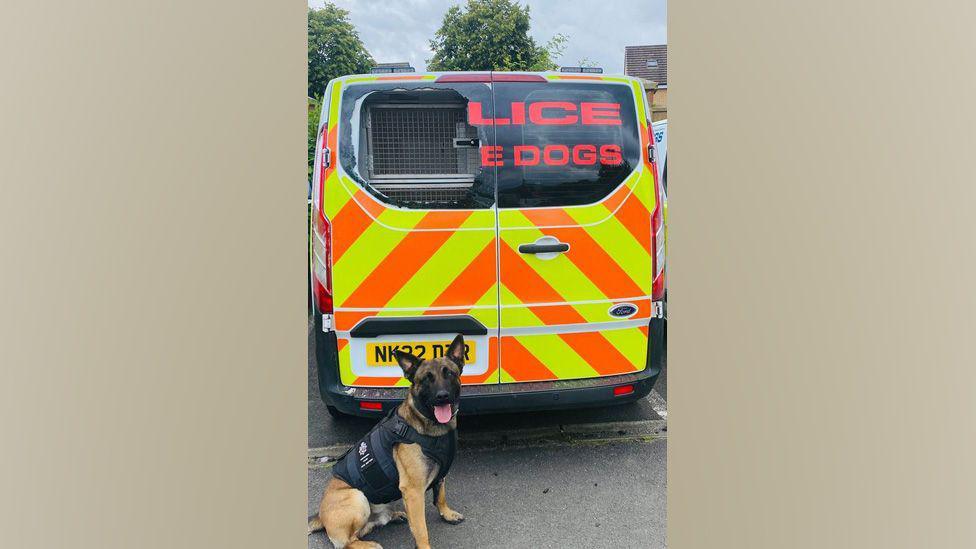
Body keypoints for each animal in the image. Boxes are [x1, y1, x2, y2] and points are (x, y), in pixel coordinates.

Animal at [310, 332, 468, 544]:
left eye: (449, 373)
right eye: (426, 379)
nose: (442, 396)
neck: (427, 424)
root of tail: (320, 516)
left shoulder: (440, 474)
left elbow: (440, 495)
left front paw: (447, 513)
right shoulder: (413, 492)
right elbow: (421, 530)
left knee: (367, 528)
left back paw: (394, 516)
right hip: (357, 497)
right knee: (349, 541)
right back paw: (370, 545)